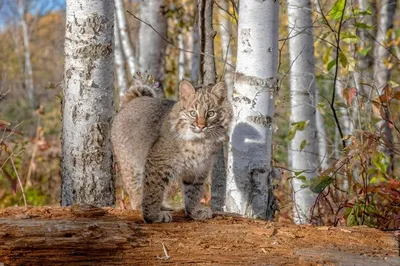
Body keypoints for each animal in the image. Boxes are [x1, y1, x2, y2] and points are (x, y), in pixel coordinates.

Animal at [111, 78, 231, 222]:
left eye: (211, 113)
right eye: (193, 113)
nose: (201, 126)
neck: (201, 141)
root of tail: (133, 101)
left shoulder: (199, 169)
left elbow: (193, 192)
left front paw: (194, 212)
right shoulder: (157, 162)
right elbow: (154, 190)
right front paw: (152, 216)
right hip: (132, 165)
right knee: (137, 191)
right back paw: (143, 206)